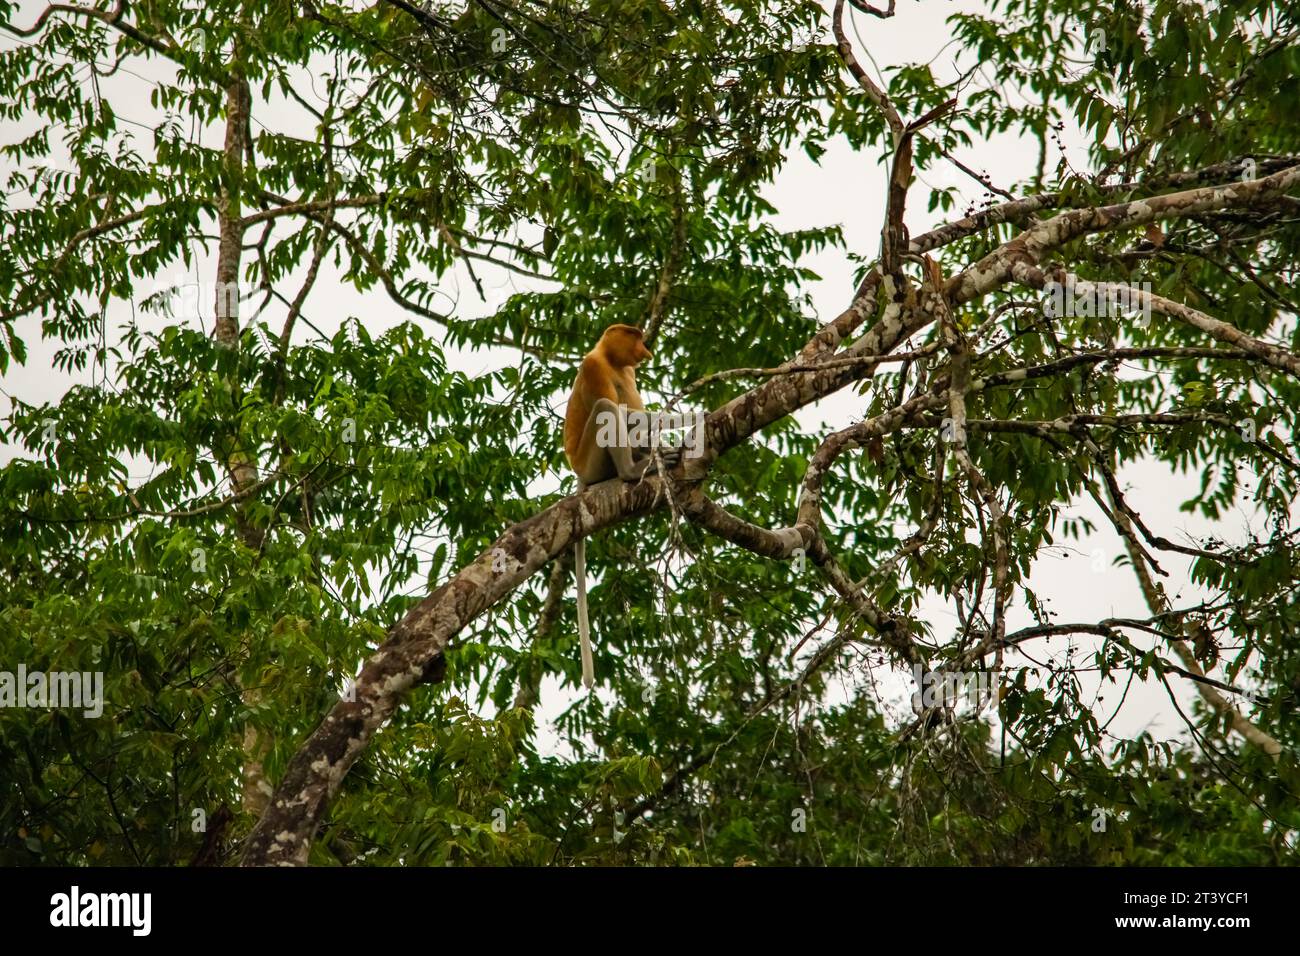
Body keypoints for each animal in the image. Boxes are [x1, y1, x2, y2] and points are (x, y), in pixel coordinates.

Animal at [563, 323, 674, 689]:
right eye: (636, 336)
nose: (646, 350)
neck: (611, 360)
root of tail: (580, 474)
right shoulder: (593, 367)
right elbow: (620, 413)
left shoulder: (628, 372)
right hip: (591, 462)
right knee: (605, 410)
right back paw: (632, 470)